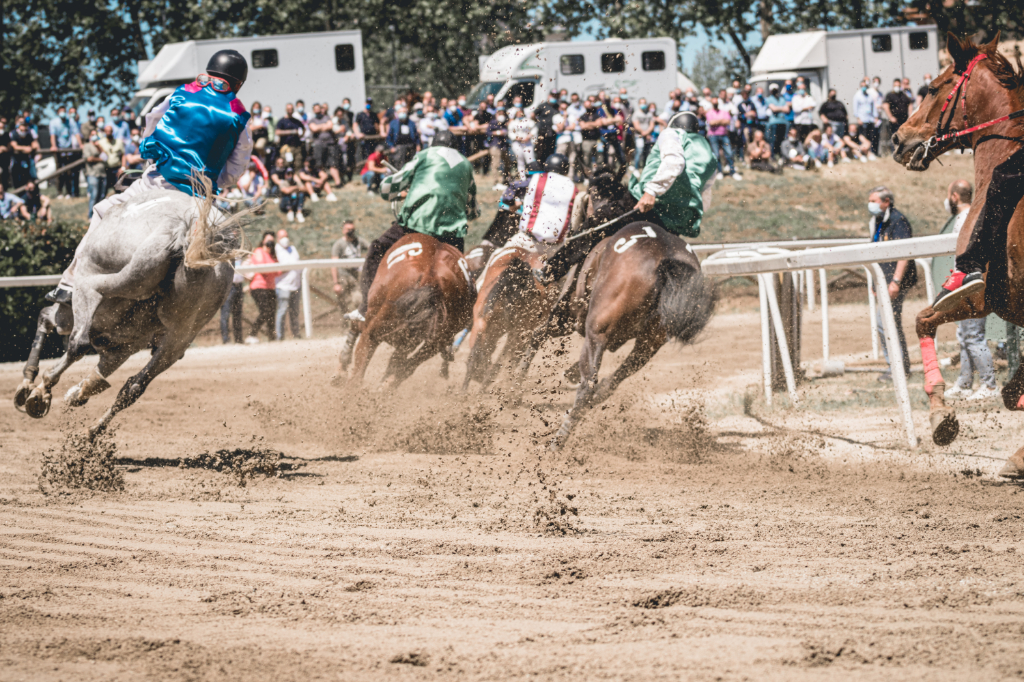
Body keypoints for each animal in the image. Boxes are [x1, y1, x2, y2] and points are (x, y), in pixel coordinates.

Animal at [13, 180, 243, 436]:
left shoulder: (72, 319)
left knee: (79, 337)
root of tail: (184, 235)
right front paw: (77, 393)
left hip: (93, 287)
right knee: (135, 386)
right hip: (178, 338)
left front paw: (30, 387)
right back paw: (92, 431)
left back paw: (42, 394)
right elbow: (107, 379)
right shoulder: (121, 347)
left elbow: (45, 318)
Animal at [888, 31, 1024, 466]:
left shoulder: (981, 296)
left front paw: (940, 416)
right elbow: (1012, 392)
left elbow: (922, 320)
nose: (898, 138)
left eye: (932, 87)